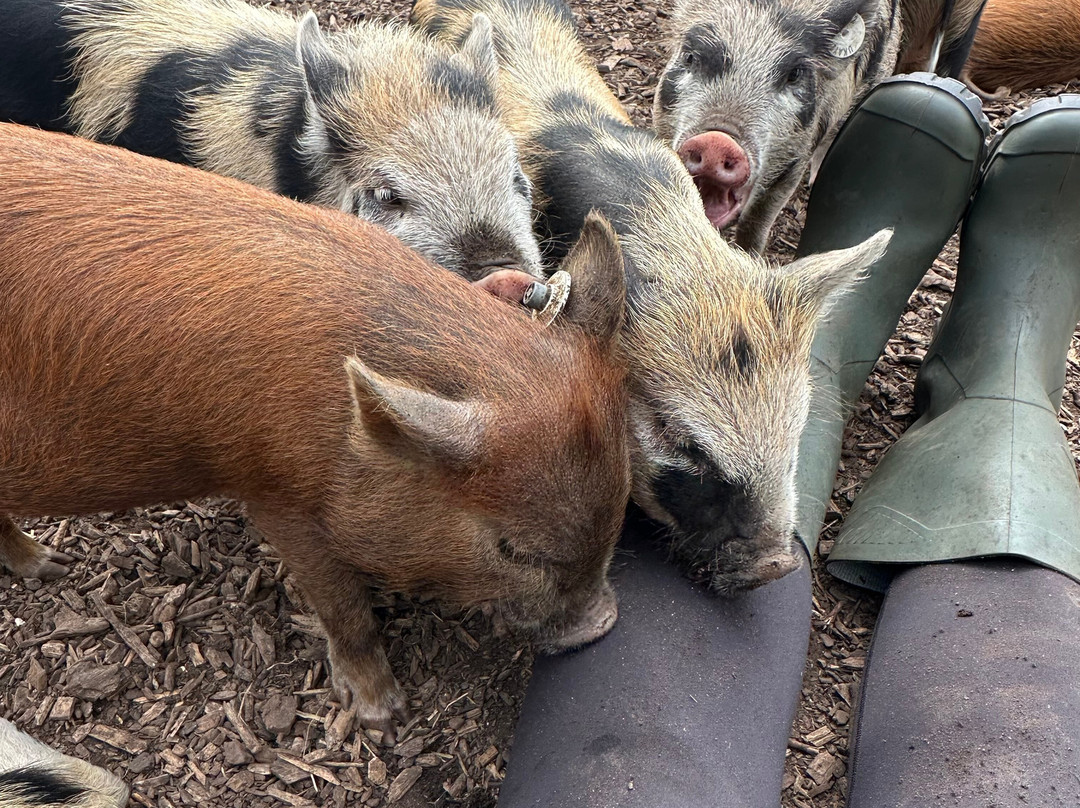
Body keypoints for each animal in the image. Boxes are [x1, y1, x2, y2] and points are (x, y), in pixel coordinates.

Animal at [0, 123, 631, 741]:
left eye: (621, 506)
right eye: (512, 549)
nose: (603, 625)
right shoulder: (276, 493)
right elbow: (344, 608)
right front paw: (383, 720)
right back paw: (52, 565)